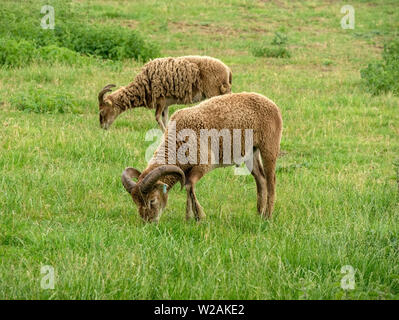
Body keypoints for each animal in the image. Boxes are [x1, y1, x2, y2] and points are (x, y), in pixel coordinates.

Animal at [98, 55, 233, 131]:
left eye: (102, 111)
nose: (103, 127)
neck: (143, 85)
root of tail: (227, 70)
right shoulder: (166, 105)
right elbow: (165, 118)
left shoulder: (160, 101)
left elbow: (158, 118)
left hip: (215, 93)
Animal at [120, 92, 282, 222]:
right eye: (135, 201)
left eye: (152, 200)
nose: (148, 221)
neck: (178, 141)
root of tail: (272, 104)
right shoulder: (184, 170)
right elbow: (187, 187)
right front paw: (189, 217)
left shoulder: (204, 164)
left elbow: (189, 185)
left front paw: (198, 217)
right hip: (250, 152)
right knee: (260, 178)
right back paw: (259, 213)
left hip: (269, 146)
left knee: (271, 181)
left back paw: (267, 216)